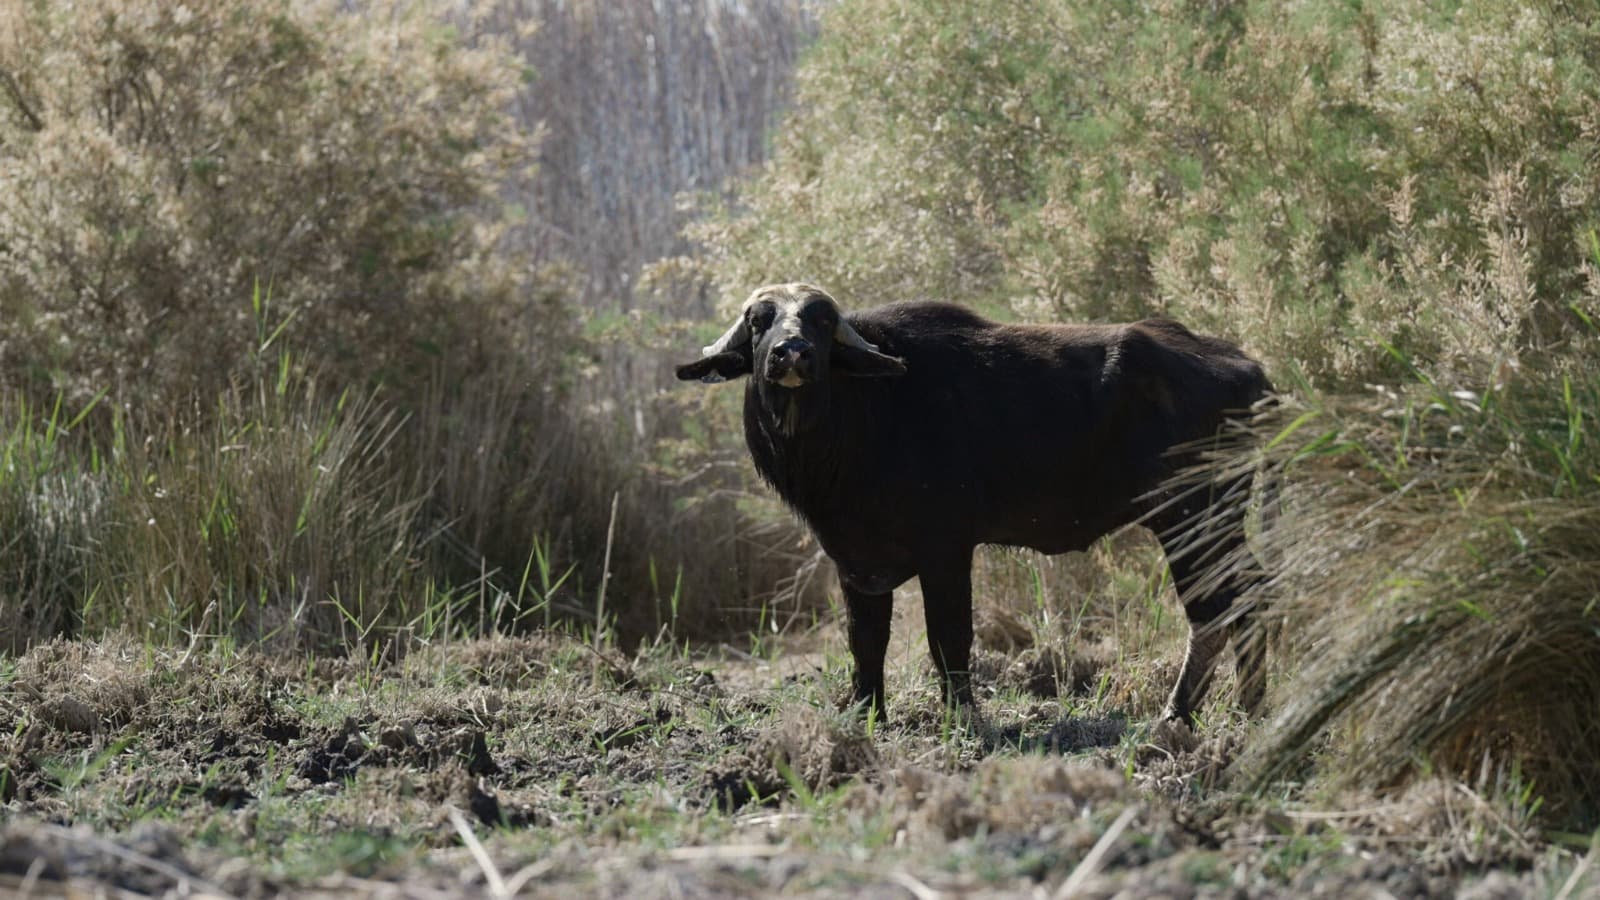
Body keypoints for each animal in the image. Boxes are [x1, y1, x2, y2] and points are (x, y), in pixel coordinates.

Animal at [677, 283, 1272, 724]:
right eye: (760, 321)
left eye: (821, 322)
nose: (791, 354)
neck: (865, 417)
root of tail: (1248, 371)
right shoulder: (855, 563)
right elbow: (866, 641)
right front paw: (866, 715)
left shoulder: (946, 551)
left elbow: (949, 637)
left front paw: (961, 717)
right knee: (1252, 594)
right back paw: (1251, 709)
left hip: (1192, 518)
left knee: (1216, 609)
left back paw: (1178, 715)